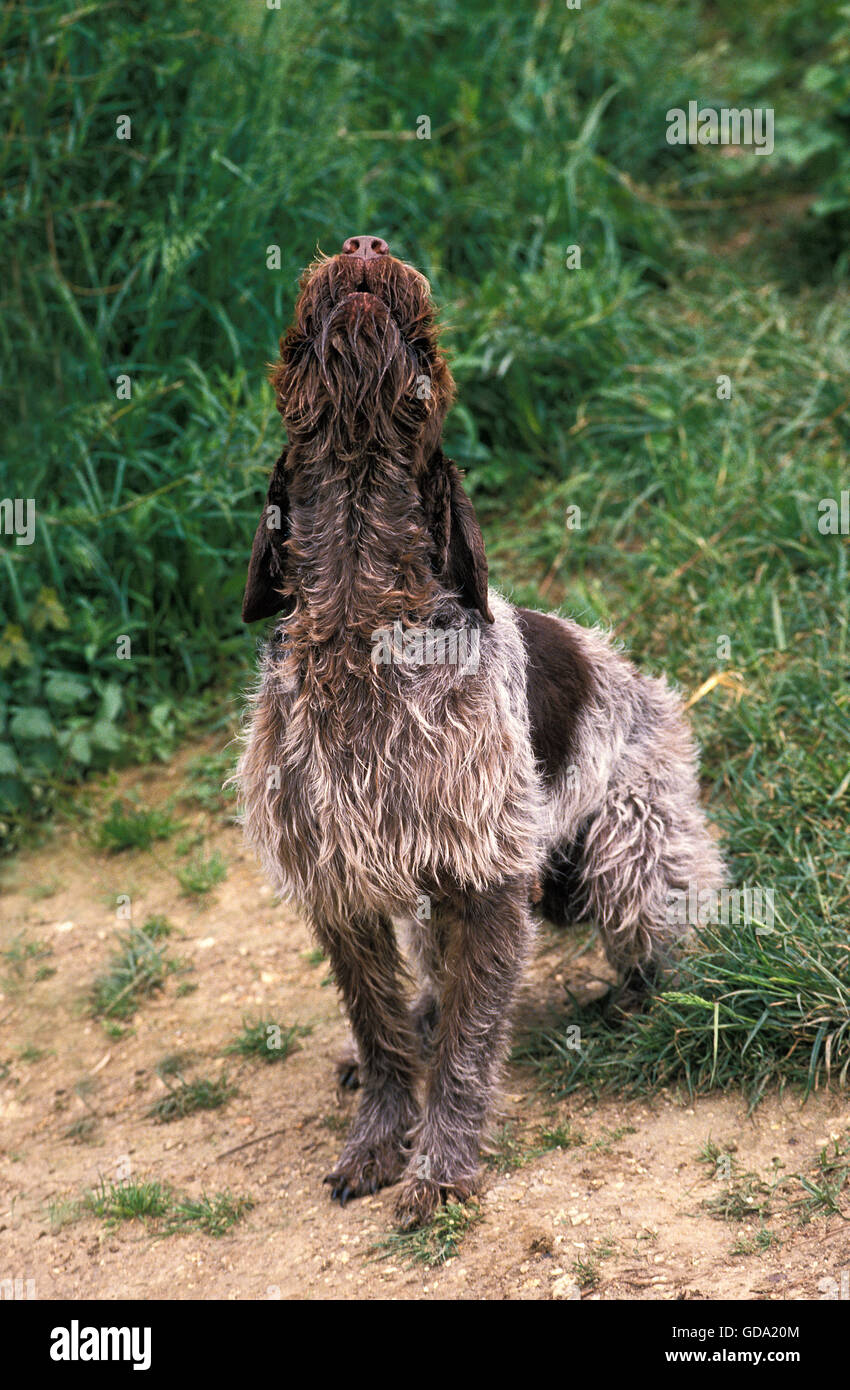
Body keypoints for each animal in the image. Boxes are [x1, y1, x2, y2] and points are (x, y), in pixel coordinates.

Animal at [237, 230, 722, 1228]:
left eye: (429, 349)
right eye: (296, 338)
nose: (365, 241)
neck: (361, 627)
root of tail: (650, 684)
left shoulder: (488, 882)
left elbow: (470, 1046)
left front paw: (443, 1166)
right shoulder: (342, 891)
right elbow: (381, 1033)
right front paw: (380, 1140)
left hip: (633, 853)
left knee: (661, 942)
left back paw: (643, 1005)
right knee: (429, 990)